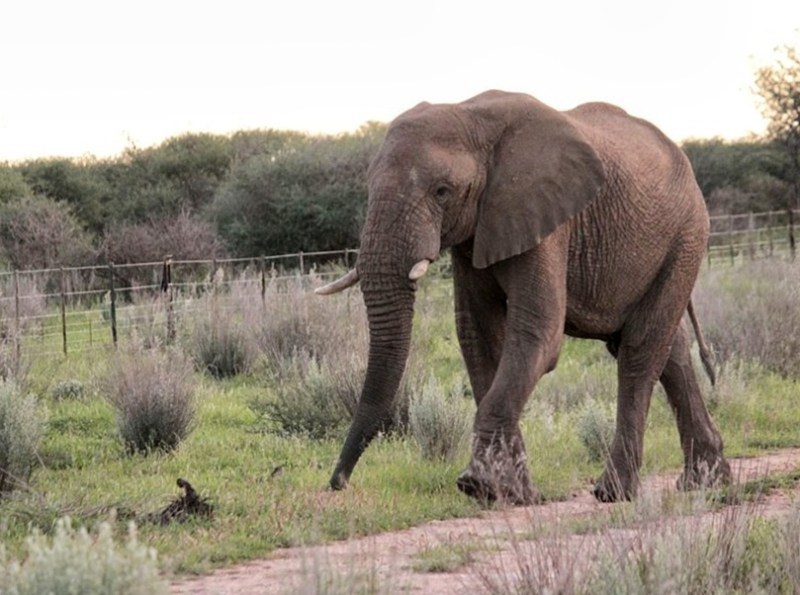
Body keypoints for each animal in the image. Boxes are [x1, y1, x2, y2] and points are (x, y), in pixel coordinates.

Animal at [316, 89, 731, 505]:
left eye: (442, 191)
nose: (338, 482)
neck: (471, 116)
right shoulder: (478, 230)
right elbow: (478, 337)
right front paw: (514, 494)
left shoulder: (545, 216)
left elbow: (537, 334)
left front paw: (479, 485)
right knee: (670, 351)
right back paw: (705, 482)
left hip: (687, 235)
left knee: (640, 350)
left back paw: (614, 492)